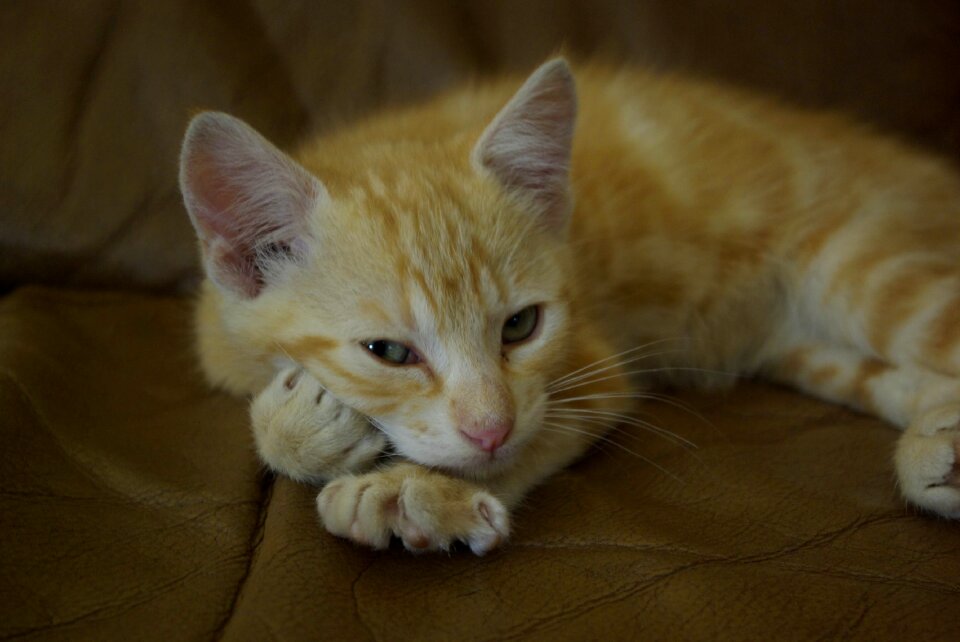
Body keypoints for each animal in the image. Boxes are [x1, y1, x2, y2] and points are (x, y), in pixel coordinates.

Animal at [180, 57, 960, 552]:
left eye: (520, 326)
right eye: (390, 352)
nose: (490, 427)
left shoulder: (594, 368)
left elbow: (535, 435)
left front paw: (415, 492)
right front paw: (304, 425)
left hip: (867, 273)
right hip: (805, 346)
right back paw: (938, 451)